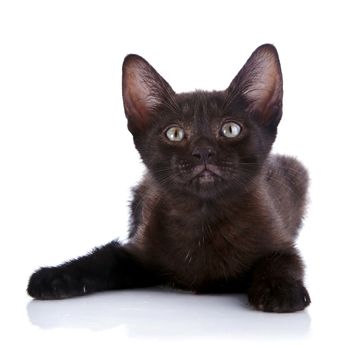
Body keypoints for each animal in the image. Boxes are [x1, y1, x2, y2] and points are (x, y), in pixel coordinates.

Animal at [28, 44, 310, 314]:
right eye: (174, 133)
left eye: (231, 129)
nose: (203, 151)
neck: (204, 217)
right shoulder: (136, 253)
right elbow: (102, 259)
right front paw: (53, 276)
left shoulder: (279, 240)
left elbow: (281, 261)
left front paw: (281, 290)